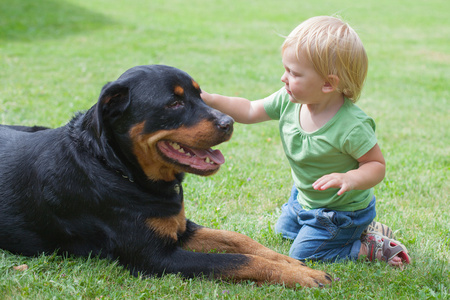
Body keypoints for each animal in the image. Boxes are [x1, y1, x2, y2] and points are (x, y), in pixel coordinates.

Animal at [0, 64, 330, 288]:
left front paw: (292, 262)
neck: (118, 169)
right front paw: (301, 275)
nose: (229, 122)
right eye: (174, 103)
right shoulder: (156, 258)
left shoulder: (179, 228)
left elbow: (237, 240)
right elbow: (236, 260)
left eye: (200, 94)